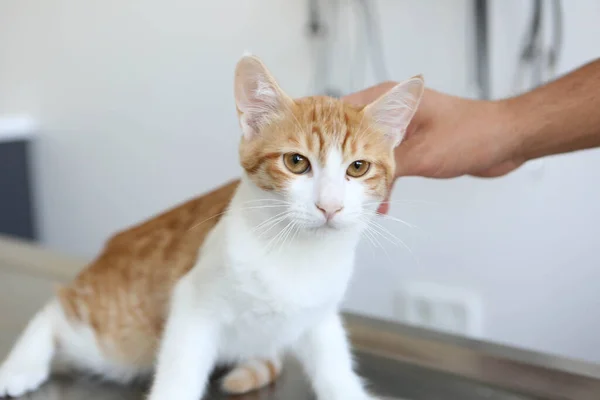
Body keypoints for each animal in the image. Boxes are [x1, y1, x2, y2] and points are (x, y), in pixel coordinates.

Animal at [0, 54, 424, 400]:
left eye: (358, 167)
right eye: (296, 162)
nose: (330, 205)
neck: (298, 252)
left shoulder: (319, 313)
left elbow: (333, 362)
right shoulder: (193, 301)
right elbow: (181, 369)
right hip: (117, 334)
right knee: (59, 310)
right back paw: (21, 366)